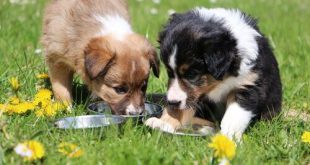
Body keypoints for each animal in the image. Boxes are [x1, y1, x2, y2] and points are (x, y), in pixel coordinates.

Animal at [145, 7, 280, 139]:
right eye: (170, 73)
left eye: (191, 75)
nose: (172, 102)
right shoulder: (193, 95)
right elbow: (181, 107)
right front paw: (164, 123)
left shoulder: (248, 84)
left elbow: (234, 115)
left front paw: (227, 137)